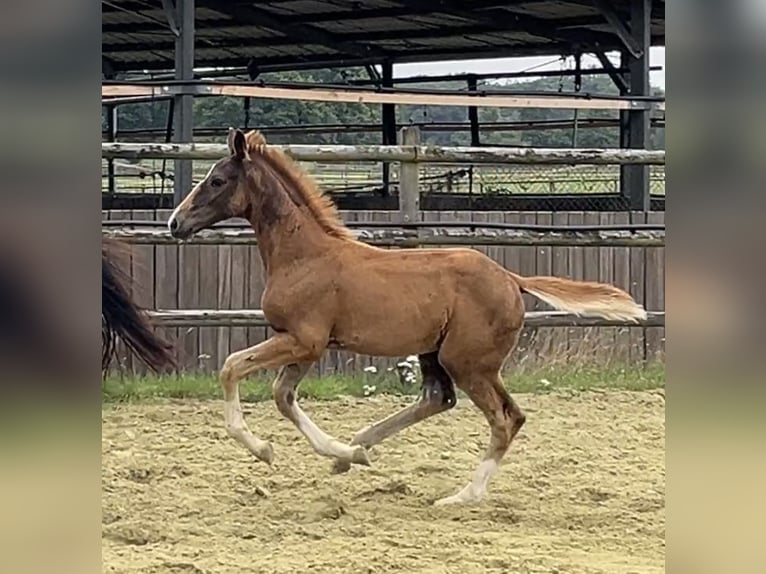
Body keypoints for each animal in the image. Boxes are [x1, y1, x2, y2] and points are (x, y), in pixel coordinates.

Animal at [166, 128, 647, 505]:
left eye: (217, 180)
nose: (174, 223)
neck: (304, 255)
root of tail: (512, 278)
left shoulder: (304, 339)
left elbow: (232, 368)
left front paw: (263, 449)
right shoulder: (306, 345)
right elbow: (283, 397)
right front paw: (342, 455)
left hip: (467, 361)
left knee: (504, 418)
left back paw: (462, 496)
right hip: (439, 354)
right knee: (443, 399)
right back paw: (362, 445)